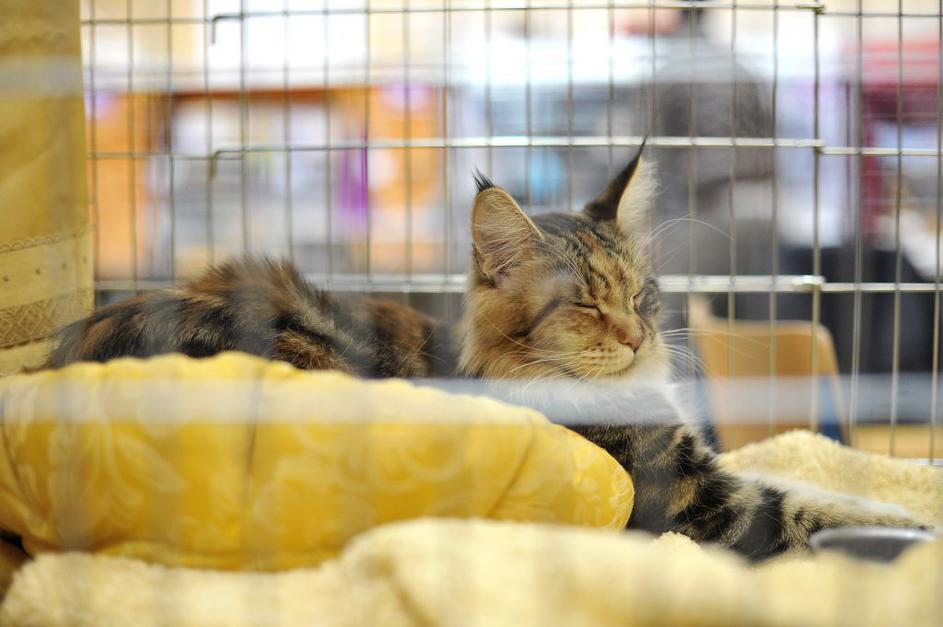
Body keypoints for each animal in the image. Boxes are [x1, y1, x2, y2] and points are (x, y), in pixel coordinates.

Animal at [44, 143, 921, 559]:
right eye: (583, 304)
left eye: (640, 294)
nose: (636, 335)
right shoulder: (691, 498)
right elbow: (805, 503)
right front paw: (911, 522)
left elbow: (800, 473)